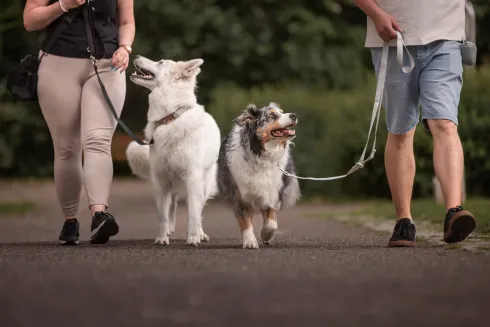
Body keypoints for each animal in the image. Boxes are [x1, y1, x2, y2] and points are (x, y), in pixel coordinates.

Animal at [126, 55, 220, 246]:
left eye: (160, 62)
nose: (135, 56)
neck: (169, 119)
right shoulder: (161, 181)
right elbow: (162, 215)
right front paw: (162, 238)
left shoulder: (193, 179)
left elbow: (193, 214)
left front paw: (193, 238)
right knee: (173, 205)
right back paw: (170, 229)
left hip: (204, 186)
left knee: (198, 210)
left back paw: (199, 233)